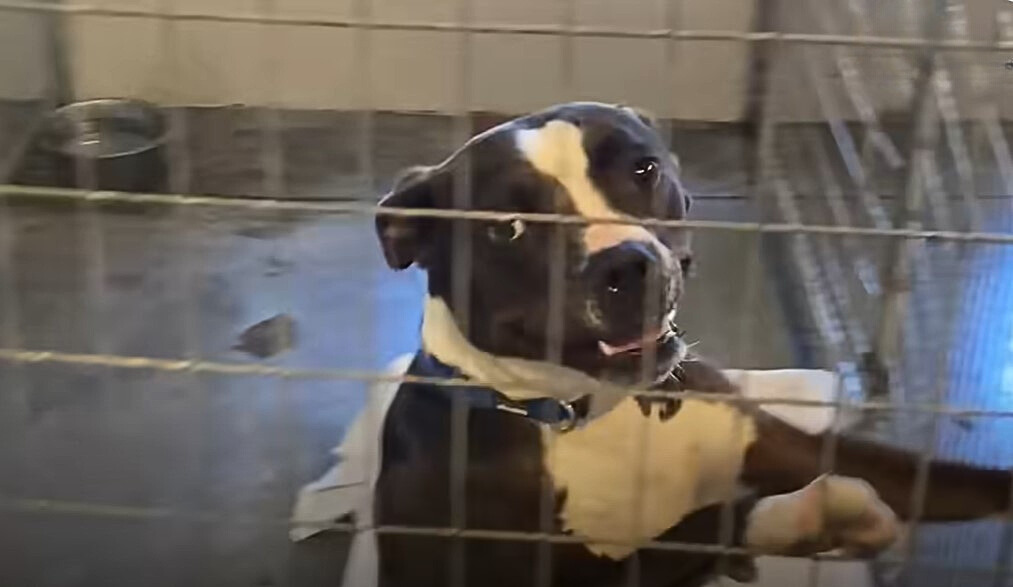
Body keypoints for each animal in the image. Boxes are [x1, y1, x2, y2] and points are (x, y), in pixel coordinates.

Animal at [291, 103, 1004, 583]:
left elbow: (964, 481)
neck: (595, 413)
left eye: (644, 168)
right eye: (509, 226)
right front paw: (802, 516)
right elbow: (696, 528)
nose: (627, 264)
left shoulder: (782, 443)